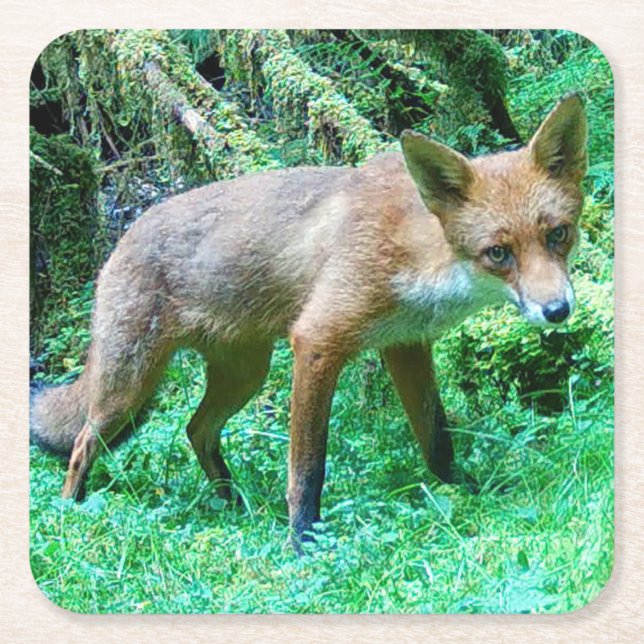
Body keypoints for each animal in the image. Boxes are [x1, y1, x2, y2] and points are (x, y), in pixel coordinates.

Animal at [31, 93, 587, 550]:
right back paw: (70, 512)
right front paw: (303, 542)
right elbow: (307, 467)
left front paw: (463, 489)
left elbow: (436, 439)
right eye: (498, 253)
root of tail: (124, 235)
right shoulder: (318, 341)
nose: (557, 311)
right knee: (83, 442)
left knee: (196, 429)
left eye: (558, 234)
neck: (414, 249)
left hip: (244, 375)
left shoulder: (405, 345)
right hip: (130, 387)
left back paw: (230, 502)